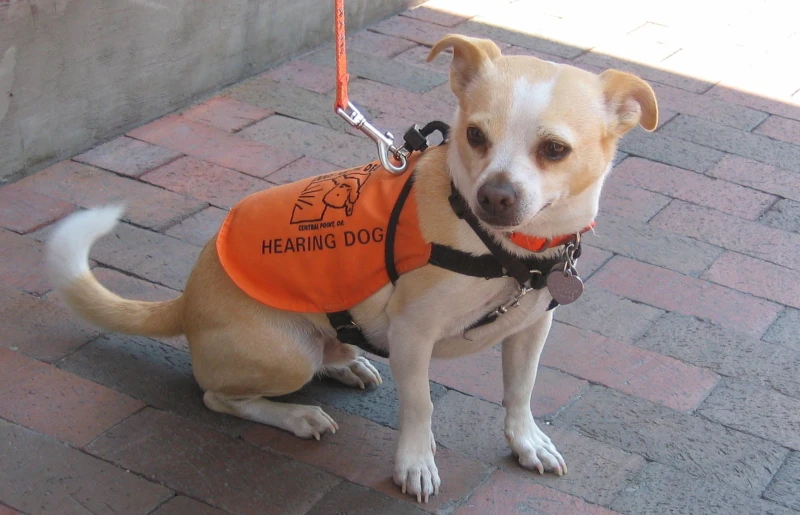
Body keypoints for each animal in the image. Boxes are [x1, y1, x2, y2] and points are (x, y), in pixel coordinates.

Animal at [47, 36, 656, 504]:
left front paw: (526, 442)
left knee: (322, 353)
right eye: (475, 136)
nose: (495, 196)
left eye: (554, 149)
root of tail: (185, 301)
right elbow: (420, 404)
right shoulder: (413, 334)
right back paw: (298, 416)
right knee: (218, 395)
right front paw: (415, 464)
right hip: (285, 352)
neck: (507, 247)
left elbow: (520, 391)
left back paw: (346, 362)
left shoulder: (532, 328)